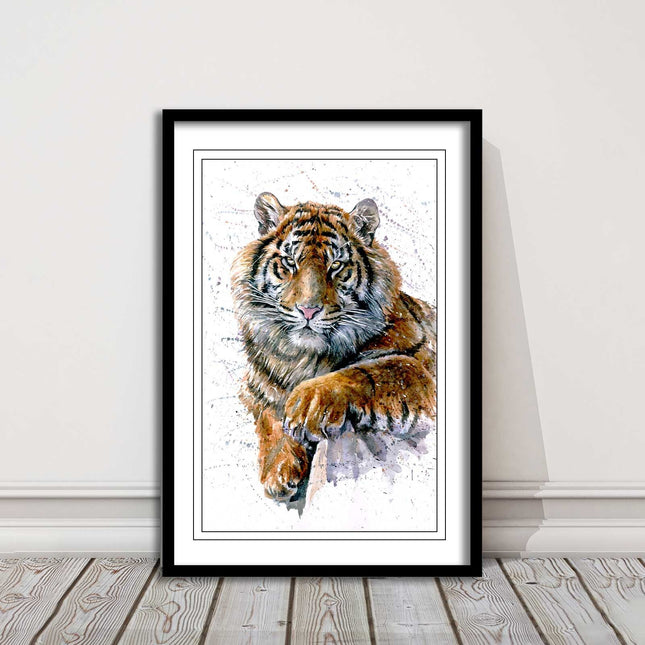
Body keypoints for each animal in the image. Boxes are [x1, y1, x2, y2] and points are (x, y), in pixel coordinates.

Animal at [231, 192, 436, 502]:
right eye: (289, 262)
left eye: (336, 265)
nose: (308, 310)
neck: (303, 358)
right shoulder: (256, 387)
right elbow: (268, 417)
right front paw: (278, 471)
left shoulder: (421, 365)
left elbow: (372, 369)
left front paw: (307, 404)